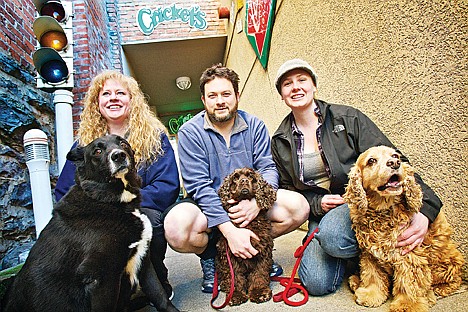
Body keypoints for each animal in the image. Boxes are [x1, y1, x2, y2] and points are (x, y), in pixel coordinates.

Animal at [3, 135, 179, 312]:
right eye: (98, 151)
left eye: (123, 143)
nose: (119, 156)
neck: (108, 200)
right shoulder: (101, 278)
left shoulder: (143, 259)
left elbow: (159, 294)